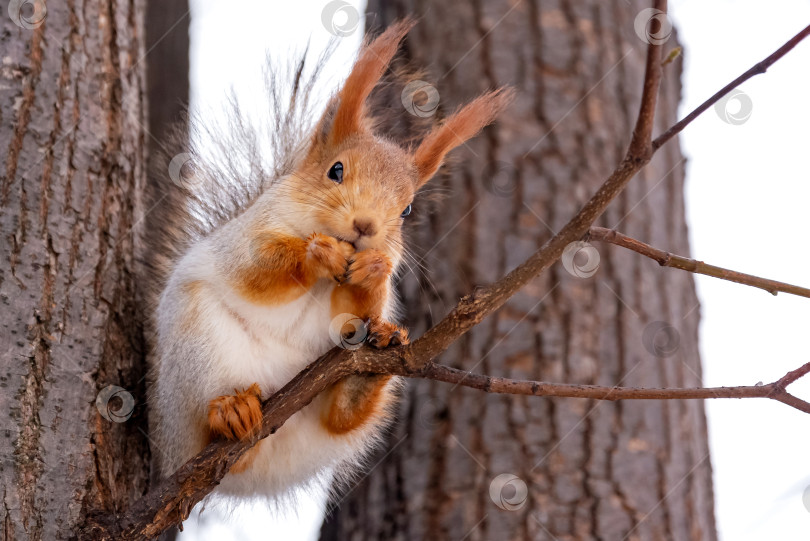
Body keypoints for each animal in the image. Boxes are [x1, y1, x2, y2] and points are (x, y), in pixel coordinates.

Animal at [145, 20, 512, 502]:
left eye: (407, 210)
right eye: (335, 170)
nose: (365, 225)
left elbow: (353, 313)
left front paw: (371, 273)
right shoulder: (245, 240)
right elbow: (256, 272)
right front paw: (318, 253)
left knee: (341, 419)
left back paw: (370, 370)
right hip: (197, 355)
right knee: (211, 433)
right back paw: (231, 411)